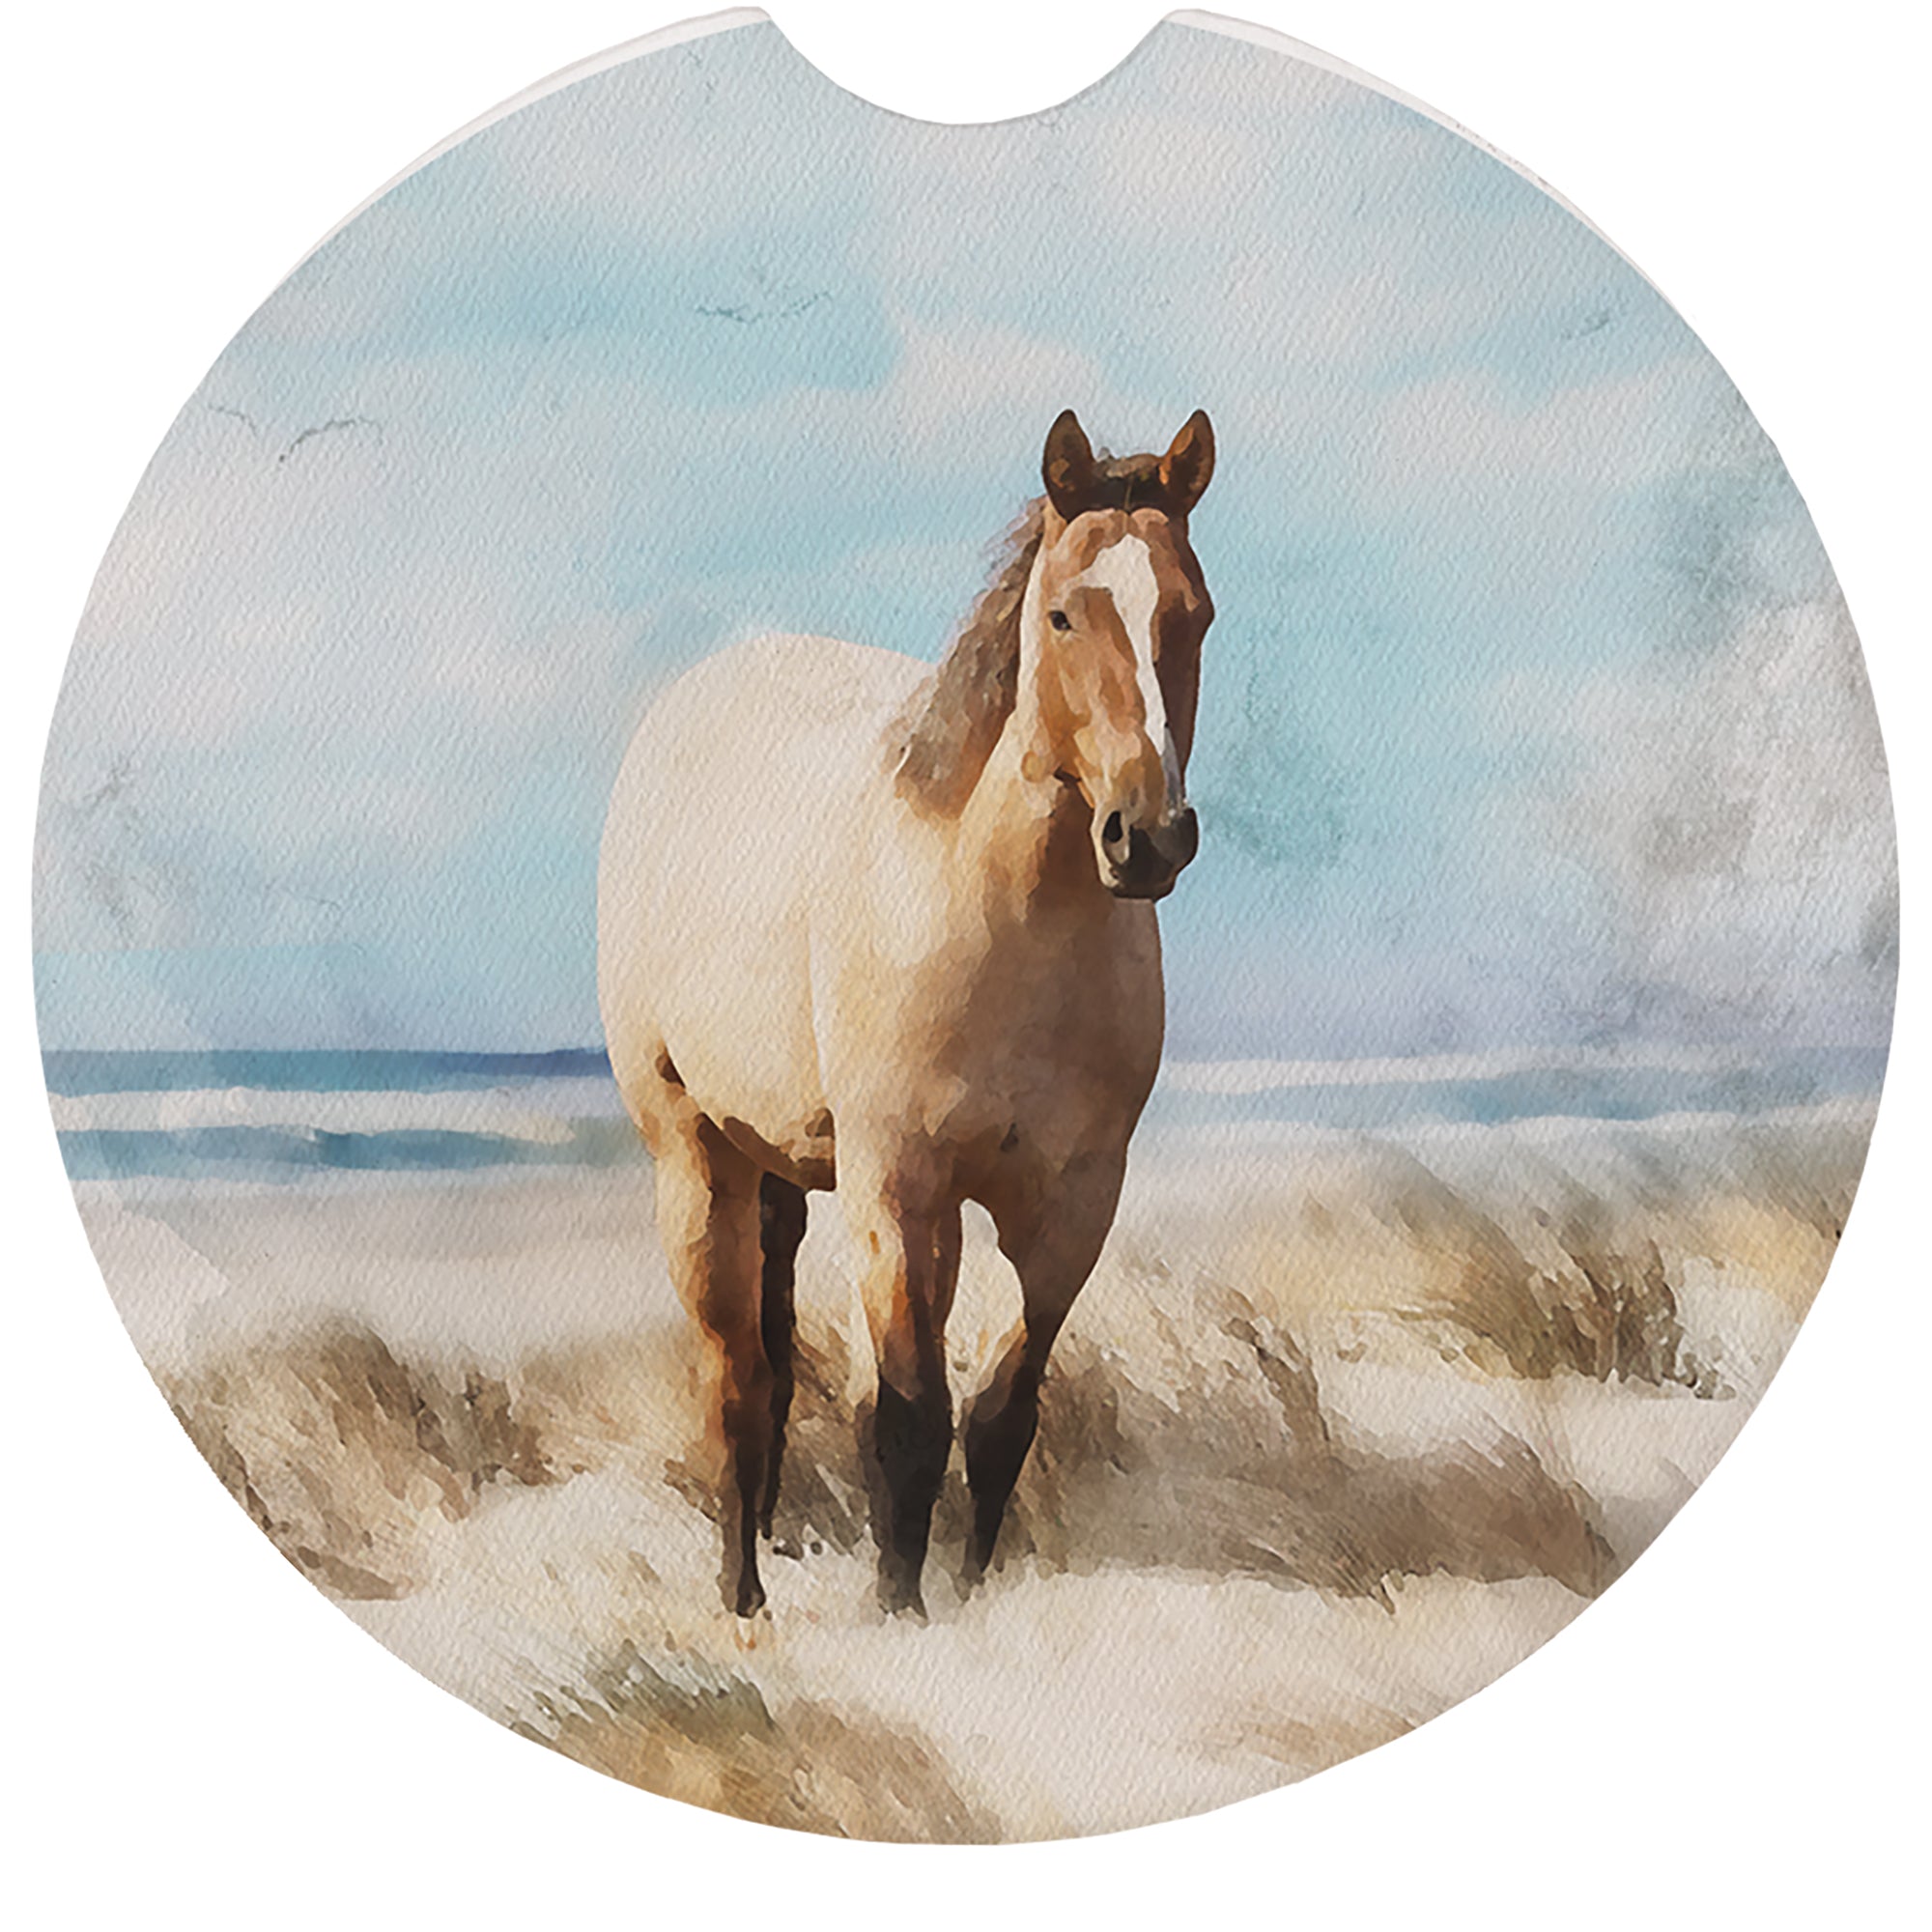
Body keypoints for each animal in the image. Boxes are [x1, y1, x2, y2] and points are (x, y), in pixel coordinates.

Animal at [596, 408, 1216, 1617]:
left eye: (1194, 613)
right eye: (1062, 612)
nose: (1147, 836)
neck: (1001, 917)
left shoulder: (1074, 1203)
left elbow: (1003, 1411)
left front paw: (968, 1597)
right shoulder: (898, 1186)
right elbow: (907, 1418)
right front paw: (899, 1610)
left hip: (788, 1165)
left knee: (775, 1365)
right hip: (697, 1158)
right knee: (736, 1379)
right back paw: (742, 1597)